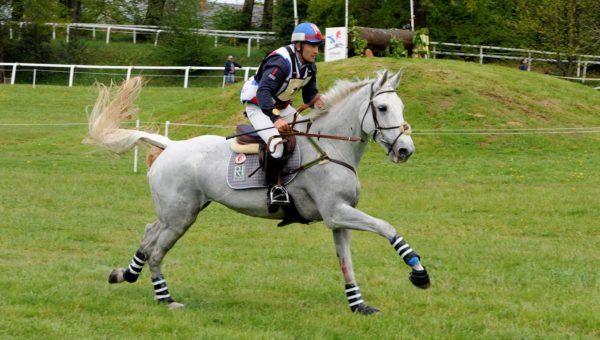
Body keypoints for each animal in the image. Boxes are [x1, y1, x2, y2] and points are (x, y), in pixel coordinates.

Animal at [85, 69, 432, 316]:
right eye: (383, 108)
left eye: (401, 107)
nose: (405, 150)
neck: (332, 148)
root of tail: (171, 145)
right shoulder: (337, 213)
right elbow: (387, 227)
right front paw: (419, 272)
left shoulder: (340, 218)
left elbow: (346, 263)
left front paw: (358, 305)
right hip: (180, 218)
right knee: (157, 252)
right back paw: (167, 299)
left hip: (179, 212)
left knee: (148, 234)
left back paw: (124, 274)